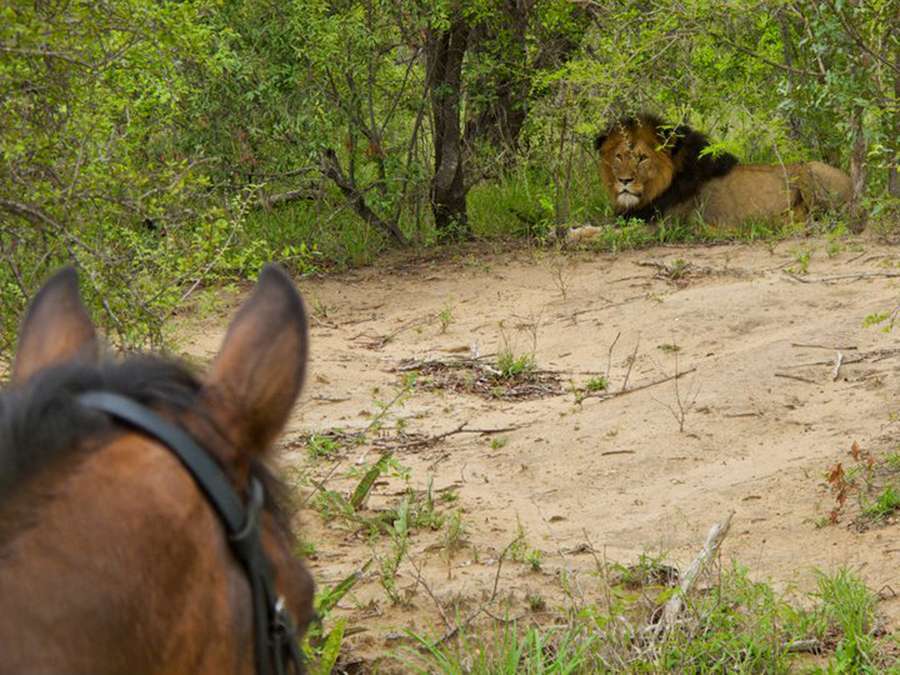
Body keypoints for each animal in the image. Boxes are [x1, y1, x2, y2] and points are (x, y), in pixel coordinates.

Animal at [572, 116, 848, 243]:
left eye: (642, 158)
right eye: (619, 156)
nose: (624, 181)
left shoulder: (663, 227)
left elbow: (614, 233)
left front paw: (577, 235)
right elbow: (604, 226)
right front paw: (576, 229)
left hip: (811, 172)